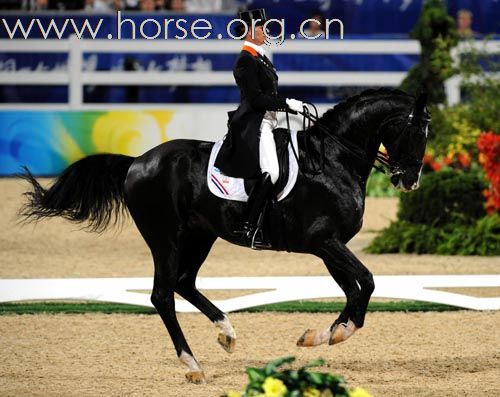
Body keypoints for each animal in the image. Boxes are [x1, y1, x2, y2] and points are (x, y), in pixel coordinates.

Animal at [20, 88, 430, 382]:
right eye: (416, 131)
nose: (410, 180)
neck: (332, 161)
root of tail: (136, 162)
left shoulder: (329, 245)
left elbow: (352, 289)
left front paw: (322, 335)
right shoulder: (323, 241)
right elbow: (367, 281)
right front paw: (339, 333)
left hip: (201, 236)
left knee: (184, 283)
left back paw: (227, 333)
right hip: (165, 238)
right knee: (163, 295)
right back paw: (193, 366)